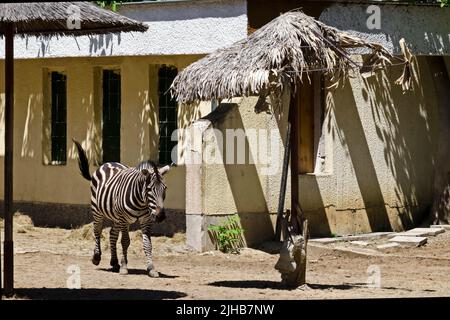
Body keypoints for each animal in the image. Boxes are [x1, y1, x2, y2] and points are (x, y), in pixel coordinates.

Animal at [72, 140, 171, 278]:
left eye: (165, 188)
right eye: (149, 189)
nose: (160, 216)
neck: (141, 202)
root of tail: (107, 163)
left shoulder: (146, 220)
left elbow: (148, 244)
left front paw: (151, 268)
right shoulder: (124, 218)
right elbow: (125, 241)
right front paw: (124, 267)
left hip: (117, 217)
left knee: (112, 234)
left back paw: (114, 262)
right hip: (98, 211)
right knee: (97, 230)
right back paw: (96, 257)